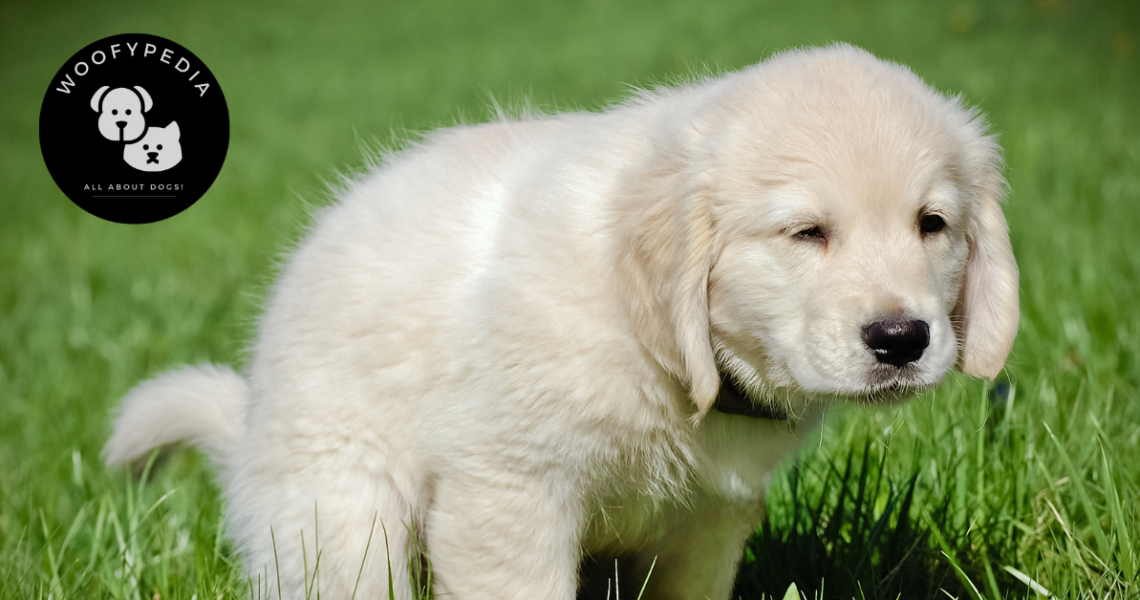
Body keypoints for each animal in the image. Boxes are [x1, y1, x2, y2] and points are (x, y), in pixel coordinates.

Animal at [104, 44, 1016, 597]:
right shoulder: (508, 491)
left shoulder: (707, 525)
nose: (902, 339)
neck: (664, 354)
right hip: (341, 516)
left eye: (932, 224)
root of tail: (250, 431)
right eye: (807, 233)